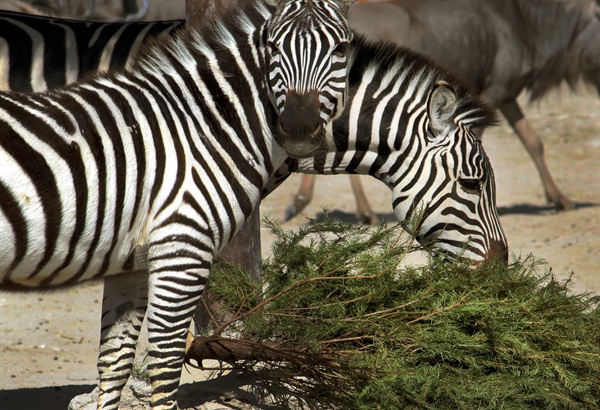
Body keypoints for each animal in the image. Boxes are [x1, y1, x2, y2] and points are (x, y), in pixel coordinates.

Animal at [0, 1, 354, 408]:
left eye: (341, 49)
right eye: (273, 47)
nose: (296, 127)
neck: (202, 131)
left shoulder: (131, 264)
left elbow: (114, 363)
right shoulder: (183, 248)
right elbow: (166, 364)